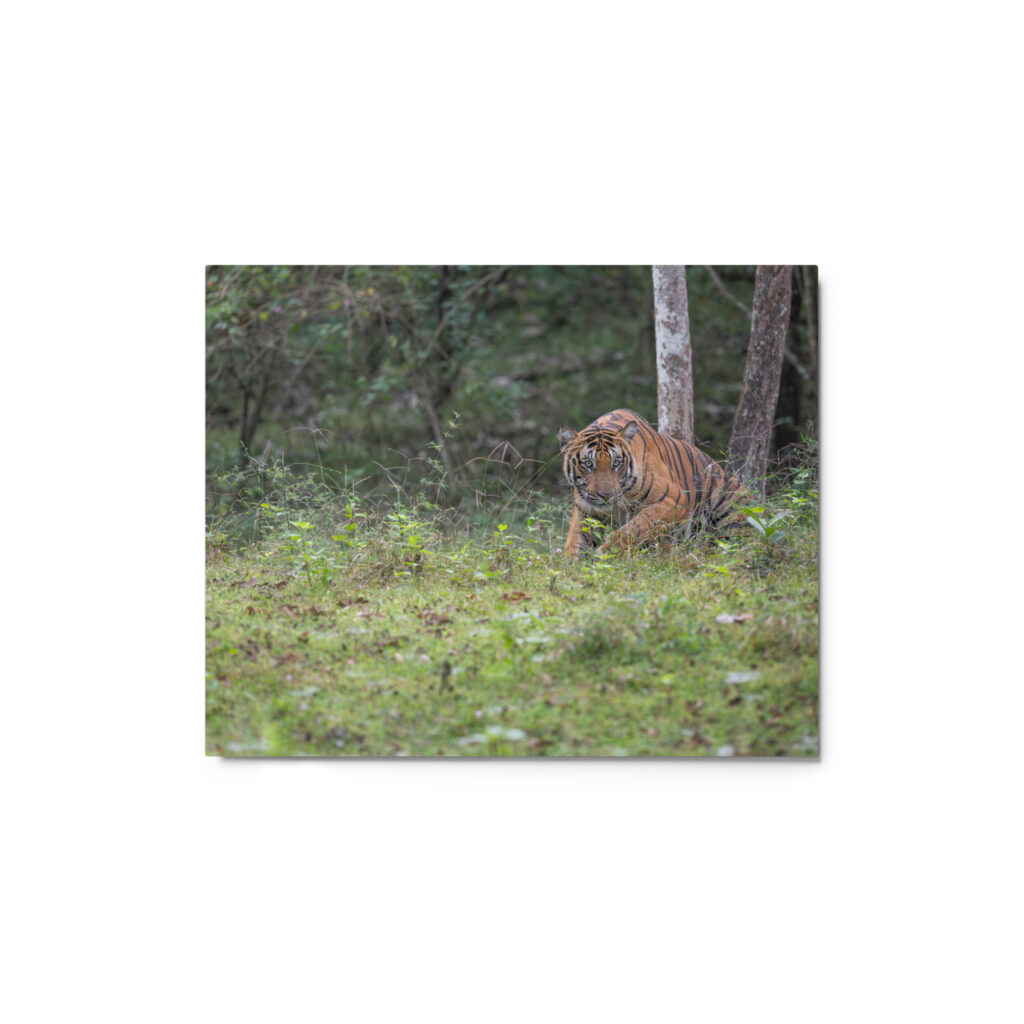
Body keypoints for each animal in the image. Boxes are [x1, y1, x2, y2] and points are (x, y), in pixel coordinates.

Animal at [557, 408, 750, 558]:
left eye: (616, 463)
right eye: (588, 464)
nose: (605, 495)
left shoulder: (673, 501)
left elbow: (632, 530)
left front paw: (604, 555)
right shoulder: (585, 511)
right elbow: (574, 542)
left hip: (732, 504)